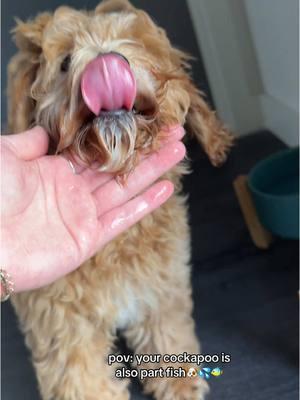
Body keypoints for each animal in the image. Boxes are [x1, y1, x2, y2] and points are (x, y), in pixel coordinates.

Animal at [7, 0, 232, 400]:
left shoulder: (161, 286)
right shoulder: (62, 326)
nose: (107, 62)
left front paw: (179, 382)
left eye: (134, 42)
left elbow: (166, 330)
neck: (116, 245)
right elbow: (80, 377)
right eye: (65, 61)